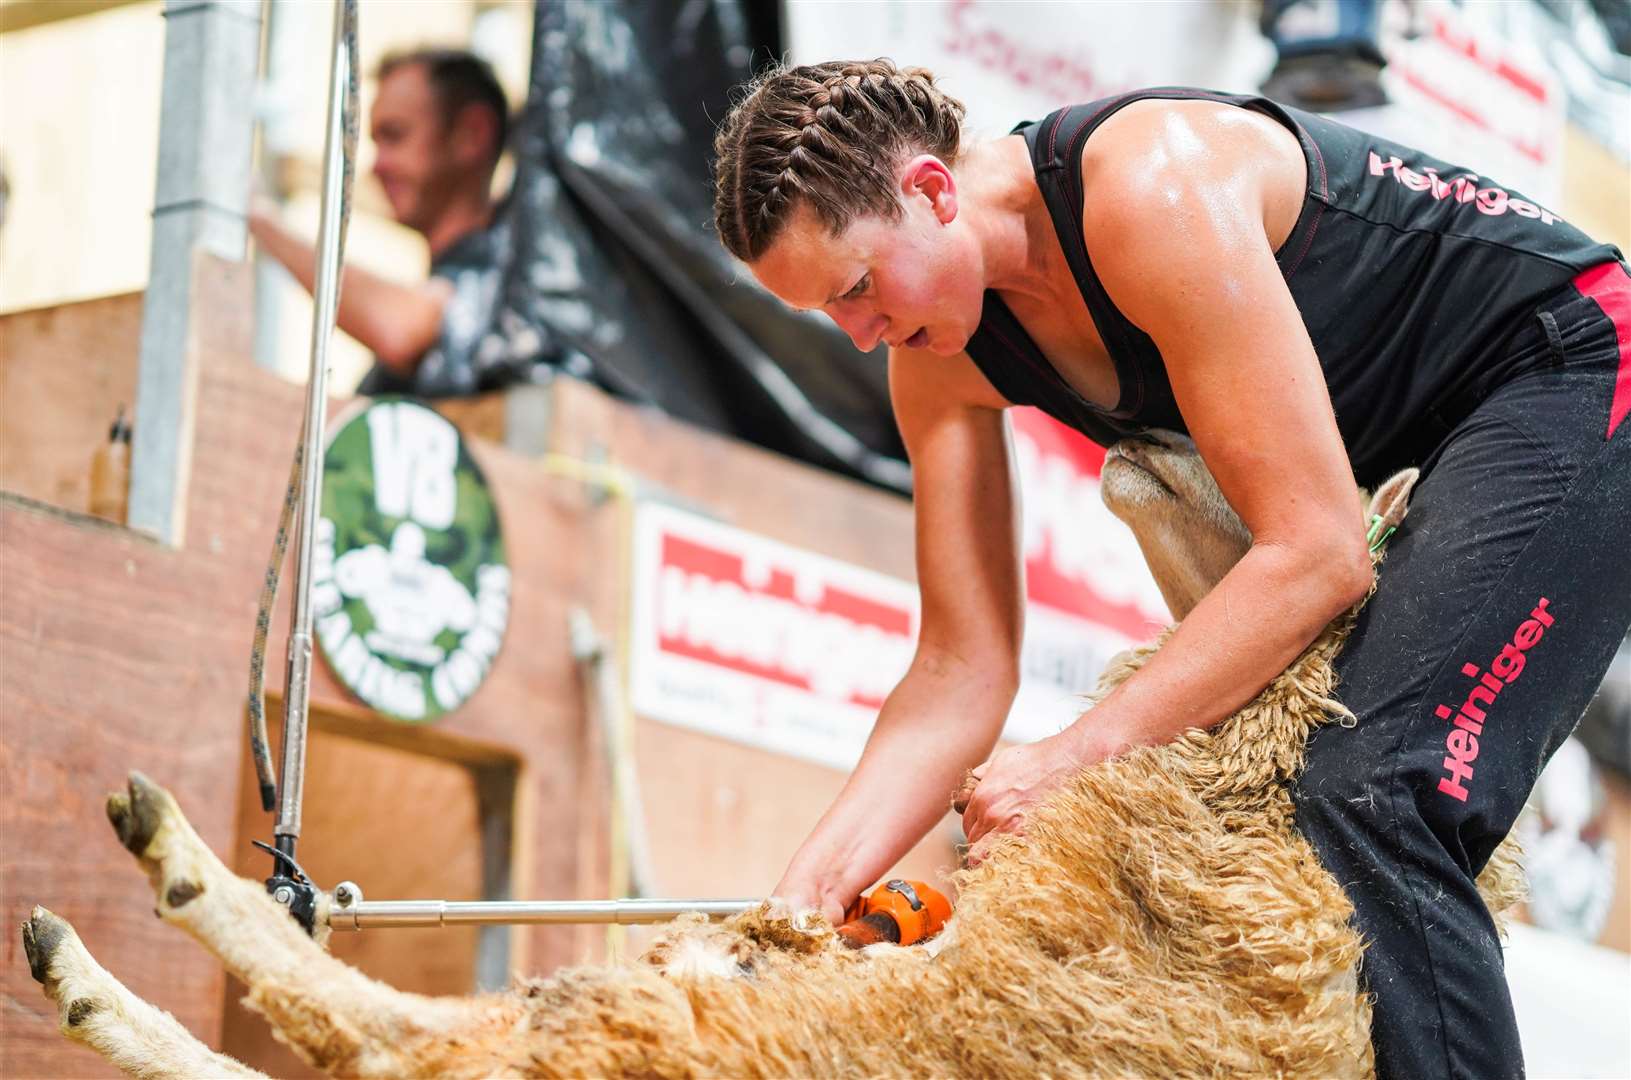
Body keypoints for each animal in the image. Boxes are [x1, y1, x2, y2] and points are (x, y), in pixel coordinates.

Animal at [19, 433, 1520, 1080]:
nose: (1142, 432)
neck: (1243, 790)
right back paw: (93, 962)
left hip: (645, 1043)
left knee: (388, 1032)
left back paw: (160, 875)